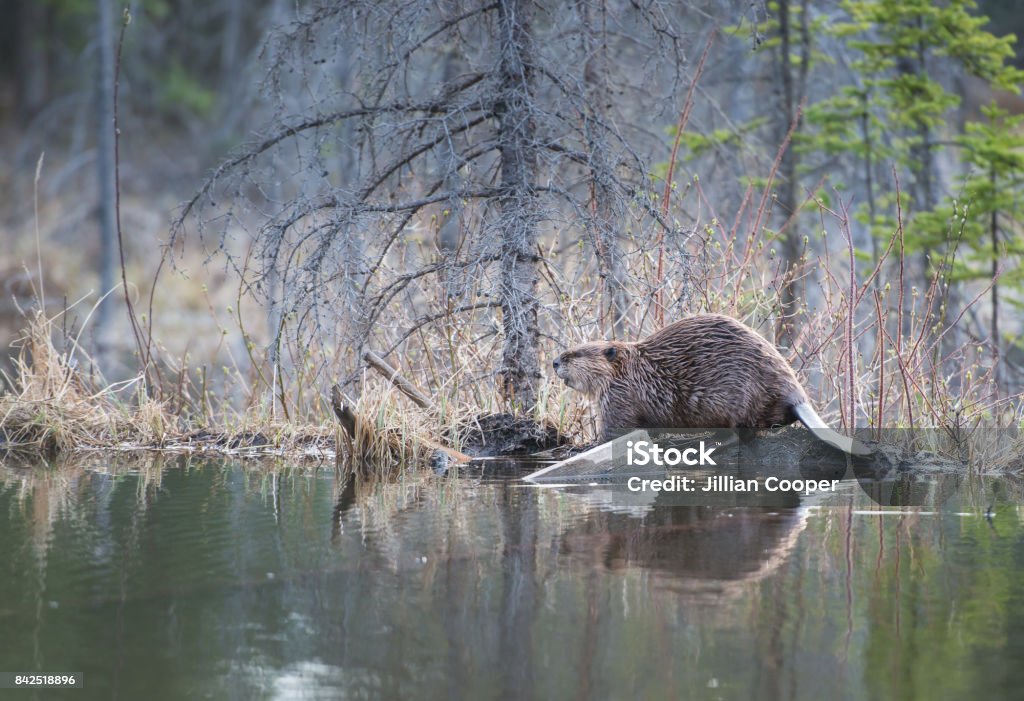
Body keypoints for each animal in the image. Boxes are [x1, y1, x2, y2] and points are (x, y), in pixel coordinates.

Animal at [552, 315, 872, 456]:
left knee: (743, 434)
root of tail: (797, 397)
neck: (634, 368)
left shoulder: (619, 396)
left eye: (574, 354)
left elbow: (614, 431)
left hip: (735, 399)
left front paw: (584, 447)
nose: (554, 362)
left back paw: (701, 444)